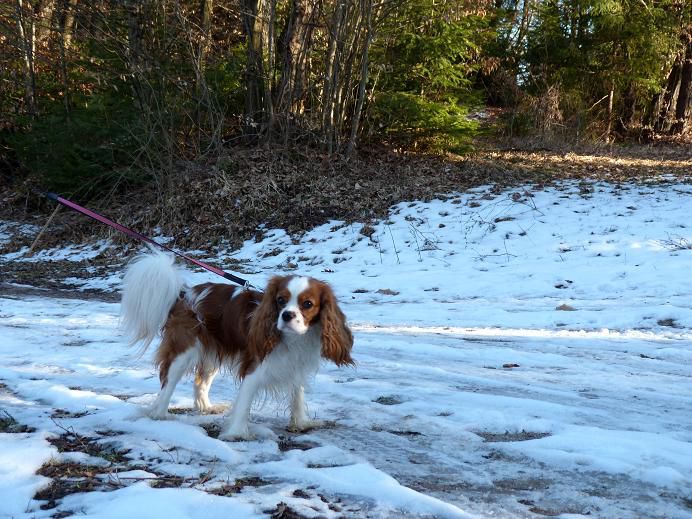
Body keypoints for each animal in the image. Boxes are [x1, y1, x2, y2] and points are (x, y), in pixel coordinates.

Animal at [119, 250, 354, 440]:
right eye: (280, 301)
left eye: (307, 304)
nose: (287, 315)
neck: (294, 339)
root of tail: (185, 294)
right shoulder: (255, 366)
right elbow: (244, 403)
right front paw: (237, 434)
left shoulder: (296, 365)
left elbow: (297, 395)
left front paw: (301, 423)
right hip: (183, 352)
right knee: (167, 383)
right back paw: (160, 416)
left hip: (212, 352)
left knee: (200, 381)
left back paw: (206, 408)